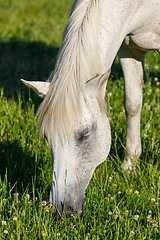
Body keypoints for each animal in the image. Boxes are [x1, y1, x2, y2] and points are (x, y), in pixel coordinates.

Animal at [21, 0, 160, 214]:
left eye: (85, 134)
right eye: (47, 137)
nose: (62, 209)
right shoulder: (129, 49)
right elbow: (133, 103)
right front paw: (130, 166)